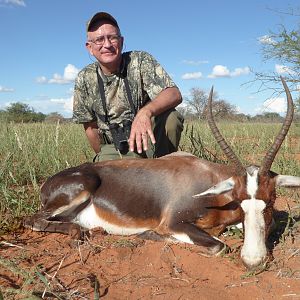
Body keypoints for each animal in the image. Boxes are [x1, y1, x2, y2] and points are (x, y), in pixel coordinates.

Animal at [25, 77, 300, 270]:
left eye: (271, 201)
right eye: (239, 199)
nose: (253, 261)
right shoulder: (173, 223)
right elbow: (218, 246)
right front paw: (150, 234)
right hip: (78, 191)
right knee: (34, 221)